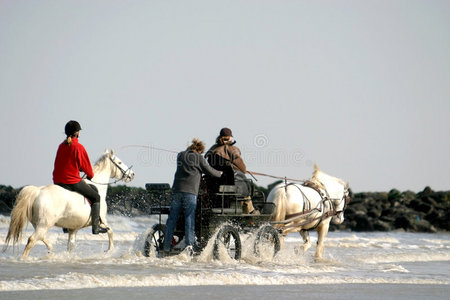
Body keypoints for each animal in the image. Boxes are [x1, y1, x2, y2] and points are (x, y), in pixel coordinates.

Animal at [3, 149, 134, 258]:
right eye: (120, 162)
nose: (132, 174)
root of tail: (37, 191)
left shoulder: (73, 229)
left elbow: (70, 246)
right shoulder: (102, 220)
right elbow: (111, 232)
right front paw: (110, 250)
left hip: (39, 224)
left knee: (41, 238)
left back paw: (52, 252)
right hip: (44, 225)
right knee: (32, 240)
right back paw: (23, 258)